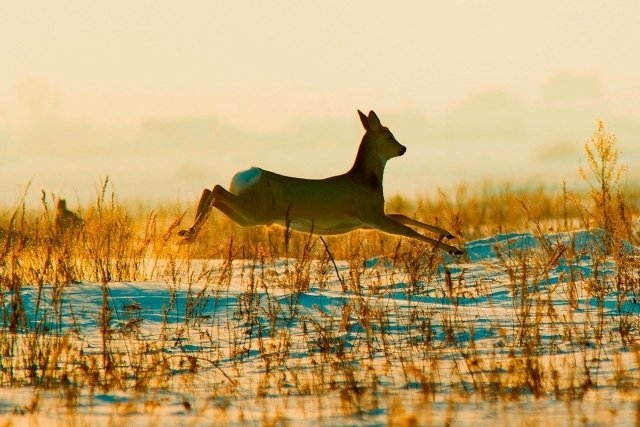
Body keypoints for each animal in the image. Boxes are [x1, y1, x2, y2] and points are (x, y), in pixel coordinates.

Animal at [178, 111, 462, 258]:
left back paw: (184, 234)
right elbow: (408, 230)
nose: (403, 148)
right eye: (390, 135)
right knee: (215, 190)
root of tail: (245, 175)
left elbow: (403, 216)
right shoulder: (372, 217)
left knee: (212, 189)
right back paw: (188, 234)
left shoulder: (371, 218)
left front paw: (448, 234)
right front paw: (453, 249)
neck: (365, 181)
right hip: (257, 212)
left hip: (249, 216)